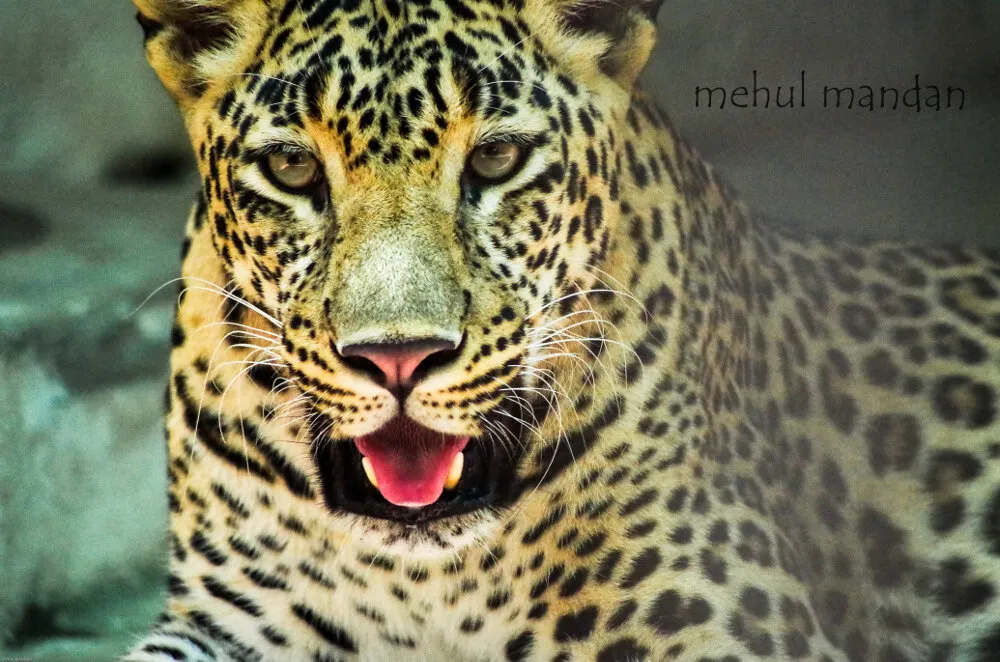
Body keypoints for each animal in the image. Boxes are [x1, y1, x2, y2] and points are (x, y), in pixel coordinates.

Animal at [123, 0, 1000, 660]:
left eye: (497, 159)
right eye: (294, 169)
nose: (399, 357)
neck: (425, 574)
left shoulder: (723, 625)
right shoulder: (233, 622)